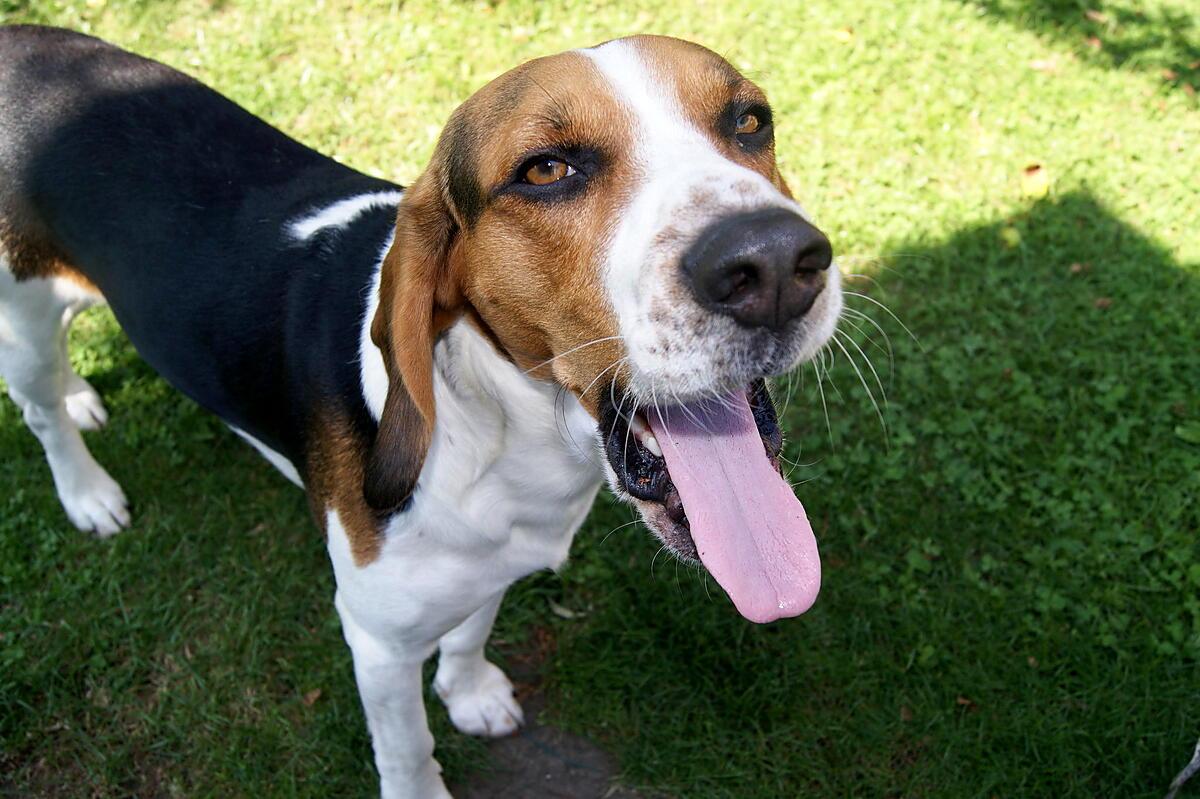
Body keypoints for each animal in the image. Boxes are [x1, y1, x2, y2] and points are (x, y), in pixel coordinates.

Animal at [2, 24, 844, 796]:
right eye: (546, 169)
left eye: (749, 121)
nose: (773, 262)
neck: (511, 437)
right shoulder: (378, 641)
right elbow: (407, 748)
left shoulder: (492, 563)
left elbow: (470, 632)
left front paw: (469, 692)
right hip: (23, 313)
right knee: (38, 412)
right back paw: (86, 490)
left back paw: (81, 397)